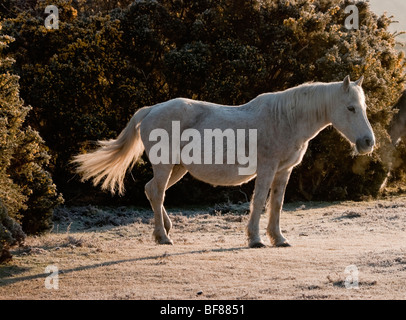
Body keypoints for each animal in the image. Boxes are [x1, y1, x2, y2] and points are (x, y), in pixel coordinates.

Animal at [73, 76, 374, 249]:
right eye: (350, 108)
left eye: (364, 107)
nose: (367, 142)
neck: (285, 118)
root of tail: (150, 110)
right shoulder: (267, 169)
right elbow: (259, 201)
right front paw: (255, 239)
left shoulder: (283, 171)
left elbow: (276, 204)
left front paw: (279, 238)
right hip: (165, 165)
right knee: (157, 192)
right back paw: (163, 237)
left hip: (177, 168)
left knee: (152, 191)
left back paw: (165, 230)